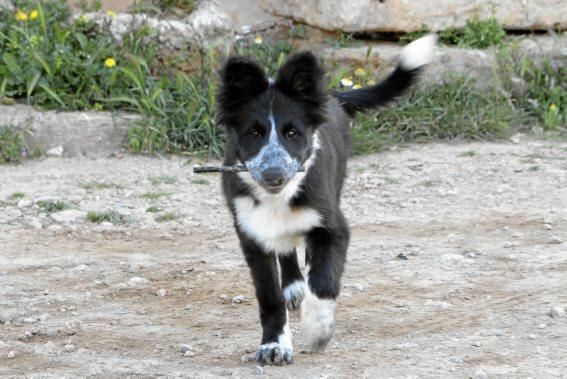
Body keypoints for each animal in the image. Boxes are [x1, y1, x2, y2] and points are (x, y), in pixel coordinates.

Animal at [219, 35, 440, 366]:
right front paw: (274, 344)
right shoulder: (251, 234)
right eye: (254, 133)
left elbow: (323, 281)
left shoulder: (332, 226)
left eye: (293, 133)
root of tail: (331, 94)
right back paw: (294, 285)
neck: (279, 198)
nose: (274, 175)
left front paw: (317, 329)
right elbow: (269, 296)